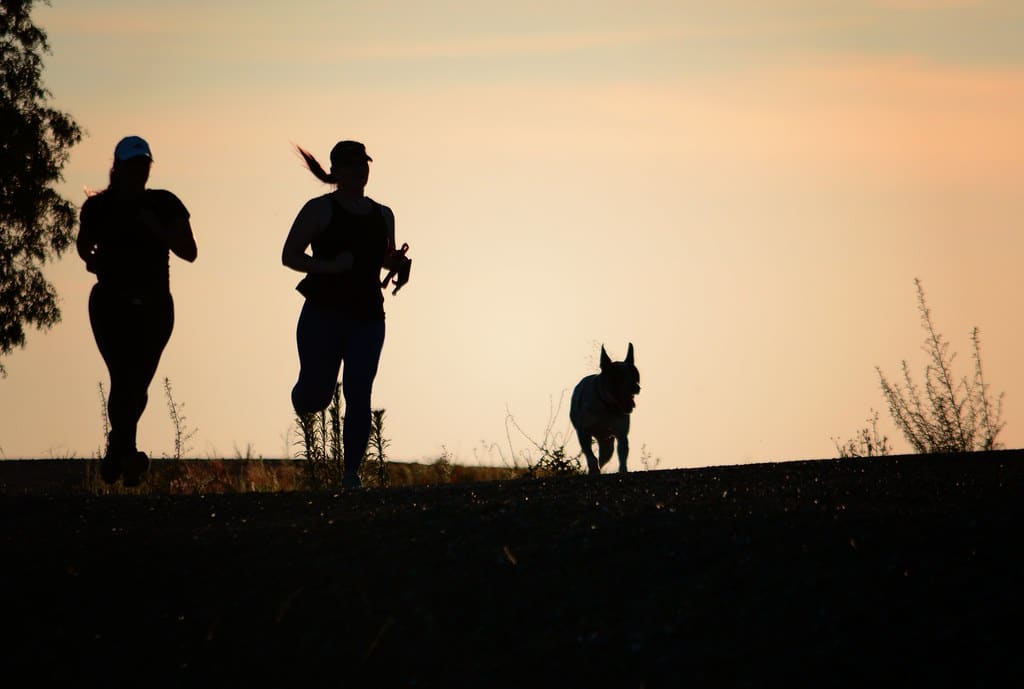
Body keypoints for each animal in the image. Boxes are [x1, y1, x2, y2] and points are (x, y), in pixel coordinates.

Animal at [569, 341, 638, 472]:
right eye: (618, 376)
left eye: (635, 375)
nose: (635, 386)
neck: (605, 404)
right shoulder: (583, 433)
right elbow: (590, 455)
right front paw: (593, 468)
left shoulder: (621, 435)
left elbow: (622, 456)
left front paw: (623, 469)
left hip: (608, 445)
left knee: (604, 458)